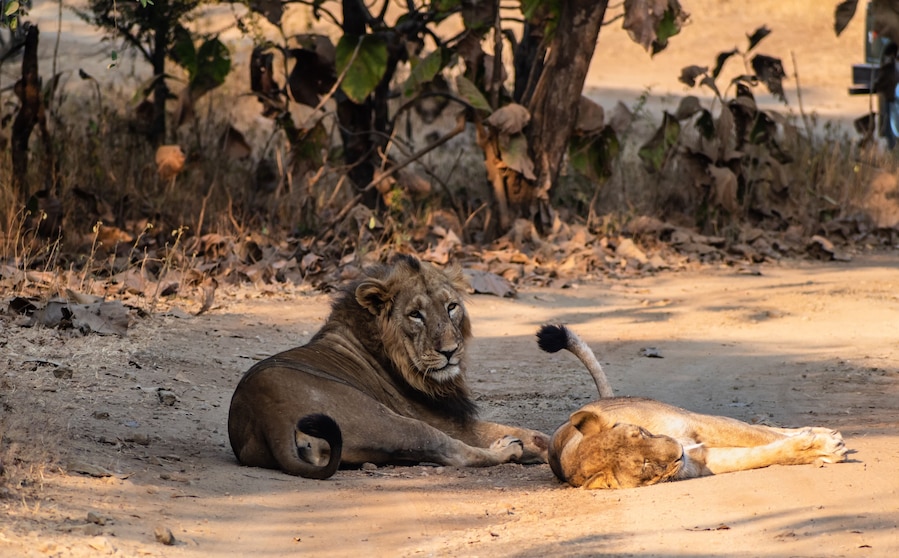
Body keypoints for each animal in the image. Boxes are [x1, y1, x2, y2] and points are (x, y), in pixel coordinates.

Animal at [227, 255, 549, 479]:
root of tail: (268, 416)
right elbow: (506, 429)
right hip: (392, 421)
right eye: (415, 314)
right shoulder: (442, 419)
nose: (449, 351)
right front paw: (537, 446)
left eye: (451, 307)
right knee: (456, 453)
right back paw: (509, 449)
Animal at [538, 324, 848, 489]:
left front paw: (824, 443)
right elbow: (762, 453)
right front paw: (819, 449)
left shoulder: (698, 424)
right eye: (645, 465)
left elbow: (762, 435)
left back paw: (822, 430)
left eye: (639, 433)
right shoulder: (701, 461)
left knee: (765, 427)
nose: (678, 451)